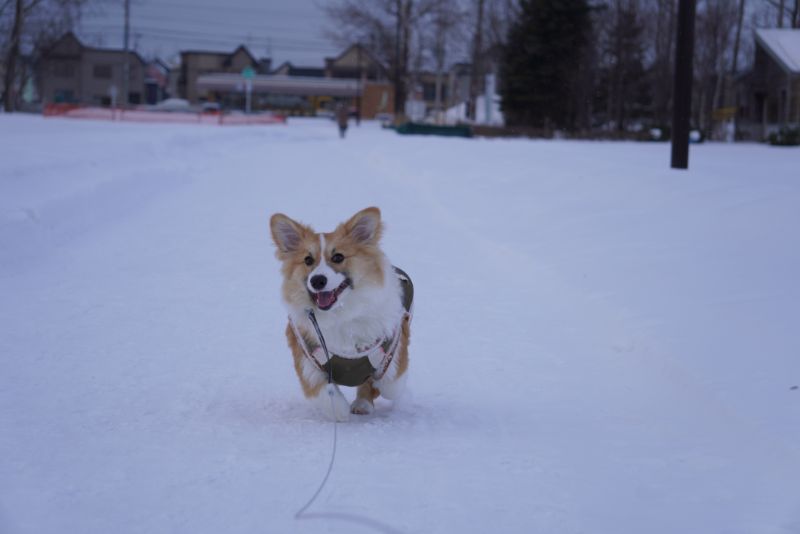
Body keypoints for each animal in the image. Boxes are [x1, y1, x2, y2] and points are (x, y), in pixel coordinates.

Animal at [272, 207, 416, 420]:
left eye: (338, 257)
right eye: (308, 260)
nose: (317, 280)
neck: (340, 313)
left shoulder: (393, 345)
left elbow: (390, 384)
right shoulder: (307, 357)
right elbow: (321, 392)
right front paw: (340, 411)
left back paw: (363, 403)